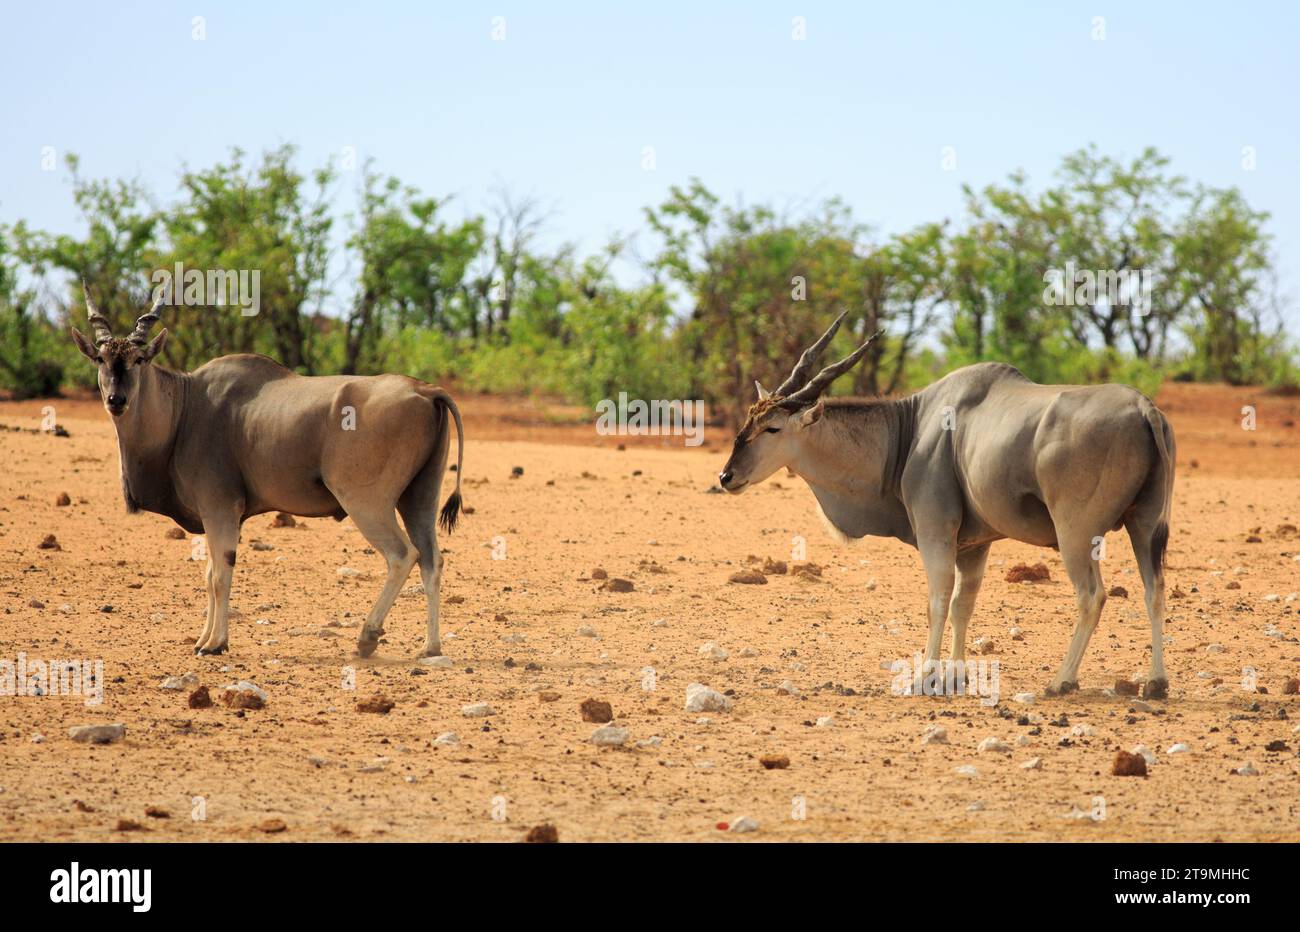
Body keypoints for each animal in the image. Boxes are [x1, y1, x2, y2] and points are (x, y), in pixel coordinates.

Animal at [71, 283, 465, 655]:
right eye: (100, 359)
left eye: (138, 359)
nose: (116, 400)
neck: (186, 406)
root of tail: (426, 391)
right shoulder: (218, 515)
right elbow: (210, 573)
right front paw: (202, 639)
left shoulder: (220, 508)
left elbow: (220, 574)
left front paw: (215, 643)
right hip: (418, 499)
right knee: (432, 560)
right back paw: (430, 647)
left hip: (366, 503)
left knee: (403, 555)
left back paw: (367, 637)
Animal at [722, 313, 1180, 696]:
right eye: (748, 419)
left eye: (772, 428)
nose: (726, 477)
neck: (907, 431)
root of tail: (1147, 409)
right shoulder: (975, 546)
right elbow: (964, 604)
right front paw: (957, 676)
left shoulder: (935, 532)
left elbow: (938, 600)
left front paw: (926, 675)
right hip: (1144, 526)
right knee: (1154, 589)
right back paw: (1156, 683)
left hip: (1076, 533)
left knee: (1092, 595)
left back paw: (1062, 681)